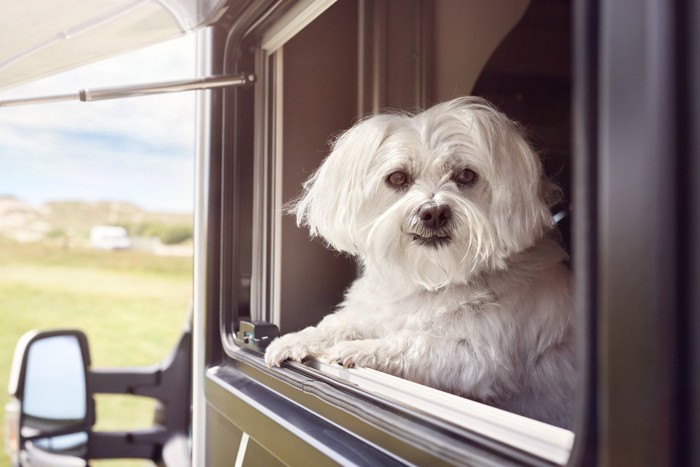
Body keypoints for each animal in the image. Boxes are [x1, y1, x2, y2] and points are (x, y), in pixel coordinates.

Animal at [262, 97, 576, 430]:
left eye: (466, 176)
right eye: (397, 177)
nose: (434, 212)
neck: (434, 277)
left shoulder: (481, 359)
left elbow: (414, 341)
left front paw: (360, 349)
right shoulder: (375, 312)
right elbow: (338, 324)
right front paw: (294, 340)